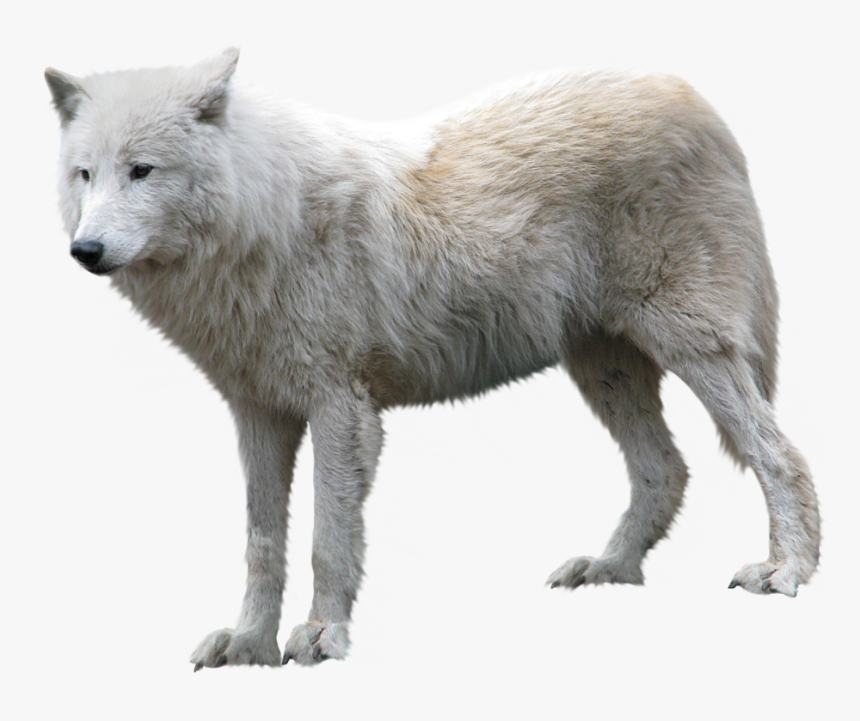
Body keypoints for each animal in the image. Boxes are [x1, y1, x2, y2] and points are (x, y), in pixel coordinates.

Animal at [46, 49, 819, 668]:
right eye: (85, 174)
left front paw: (322, 635)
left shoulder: (339, 407)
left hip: (691, 346)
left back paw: (786, 570)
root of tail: (684, 90)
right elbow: (263, 545)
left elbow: (329, 537)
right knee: (666, 468)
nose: (84, 251)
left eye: (142, 170)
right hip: (602, 365)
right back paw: (610, 567)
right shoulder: (258, 413)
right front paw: (249, 645)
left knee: (780, 455)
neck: (263, 222)